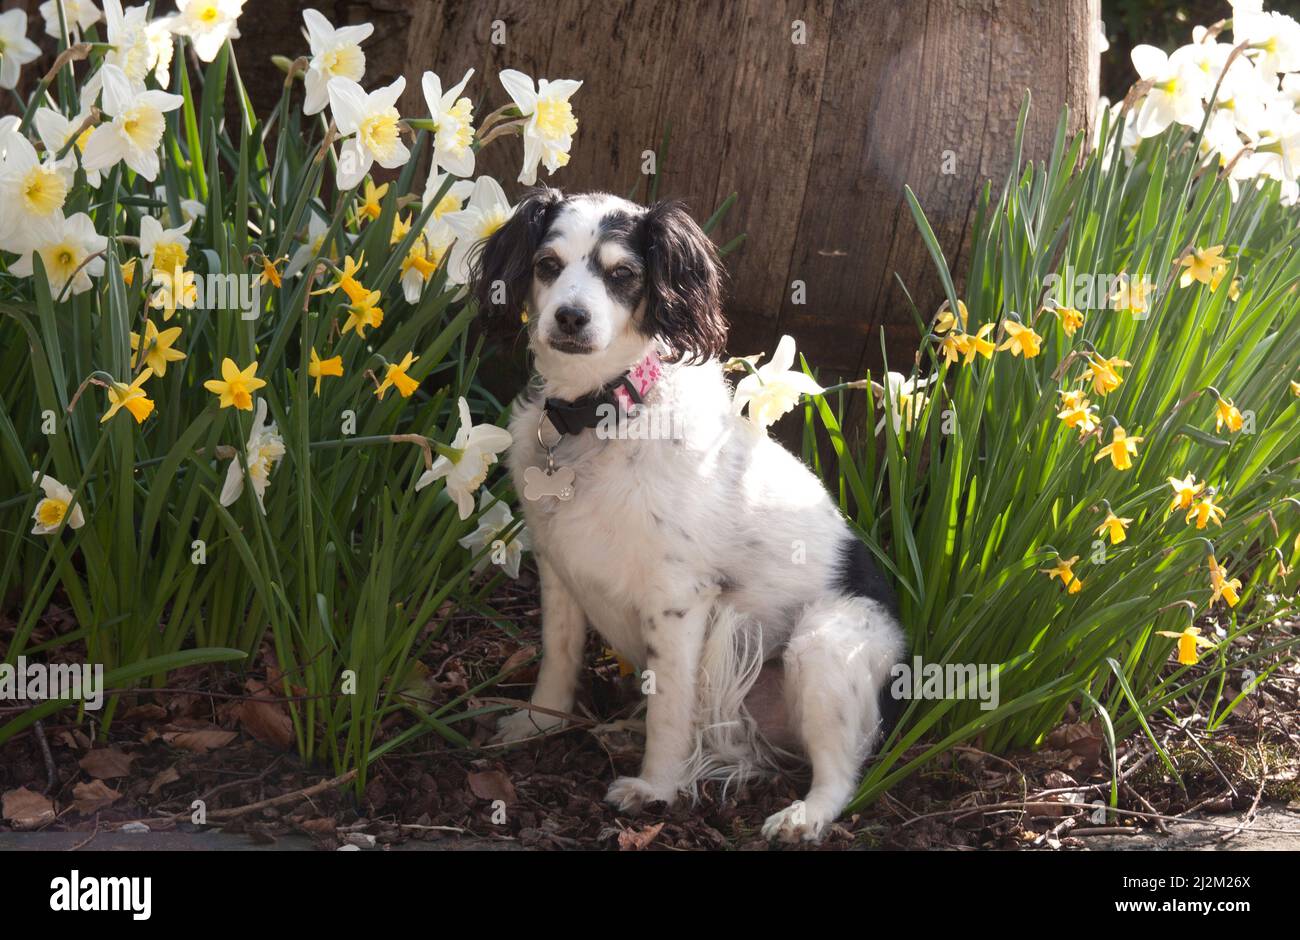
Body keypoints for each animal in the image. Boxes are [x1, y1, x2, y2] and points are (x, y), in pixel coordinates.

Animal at [467, 187, 904, 842]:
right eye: (547, 265)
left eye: (623, 275)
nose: (570, 317)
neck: (601, 416)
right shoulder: (558, 570)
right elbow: (558, 661)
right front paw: (539, 724)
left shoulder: (678, 601)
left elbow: (670, 708)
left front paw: (656, 787)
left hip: (823, 644)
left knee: (842, 773)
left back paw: (803, 814)